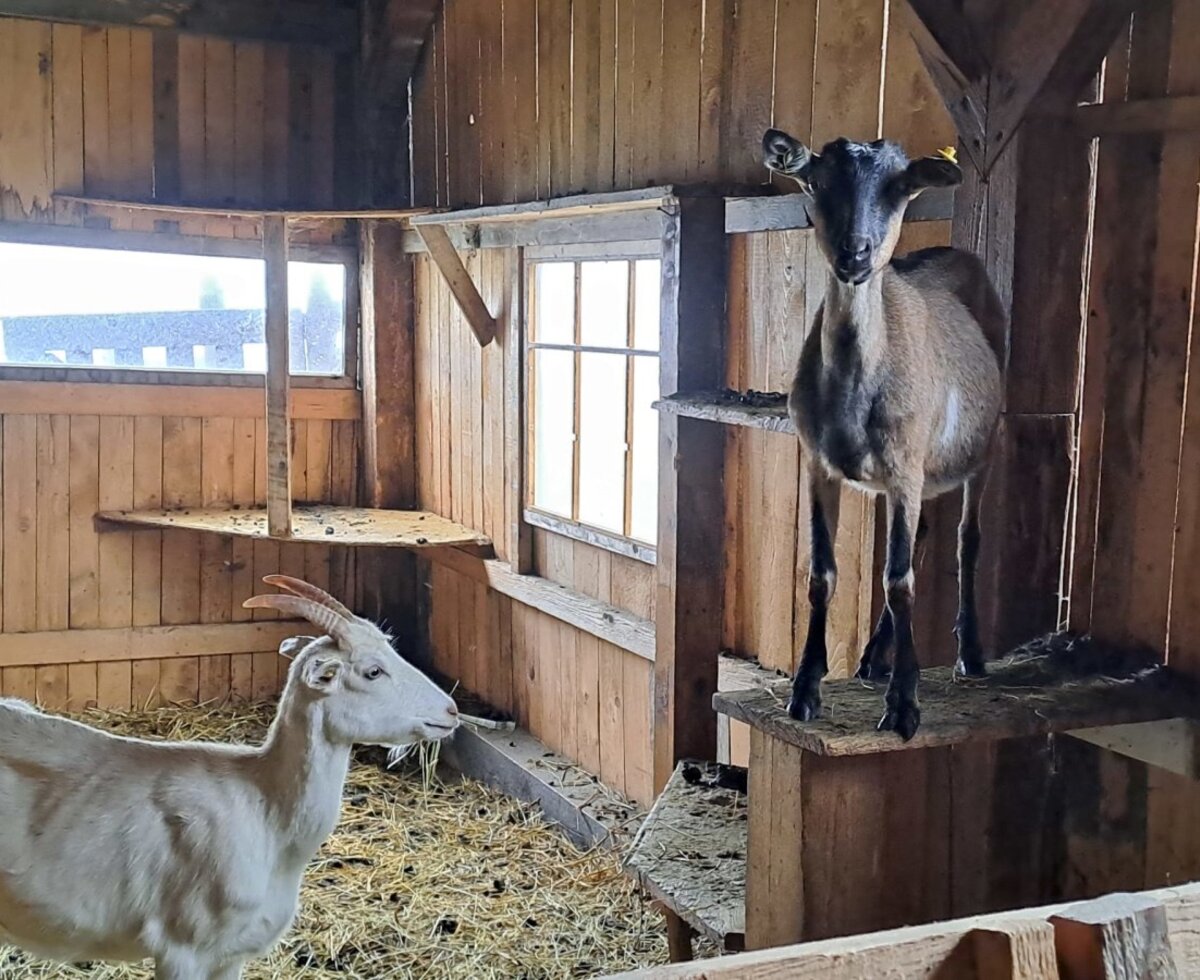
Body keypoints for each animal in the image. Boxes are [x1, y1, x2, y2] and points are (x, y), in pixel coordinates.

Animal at [761, 130, 1005, 740]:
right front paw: (805, 690)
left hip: (982, 444)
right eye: (816, 181)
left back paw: (969, 654)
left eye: (900, 188)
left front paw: (904, 707)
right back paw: (874, 657)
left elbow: (900, 581)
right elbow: (822, 574)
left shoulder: (904, 466)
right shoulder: (821, 464)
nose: (856, 253)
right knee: (918, 540)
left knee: (966, 537)